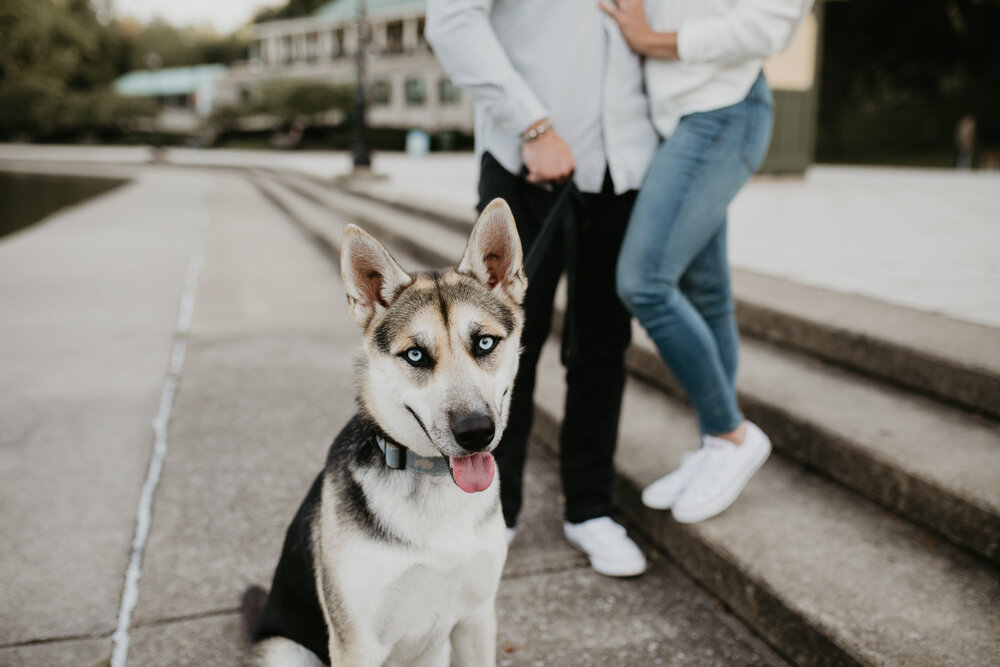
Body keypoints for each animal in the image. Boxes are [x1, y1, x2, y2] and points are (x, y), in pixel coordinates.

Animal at [246, 201, 528, 664]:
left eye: (485, 343)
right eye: (415, 355)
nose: (476, 432)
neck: (433, 480)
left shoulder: (476, 618)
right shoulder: (356, 644)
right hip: (285, 650)